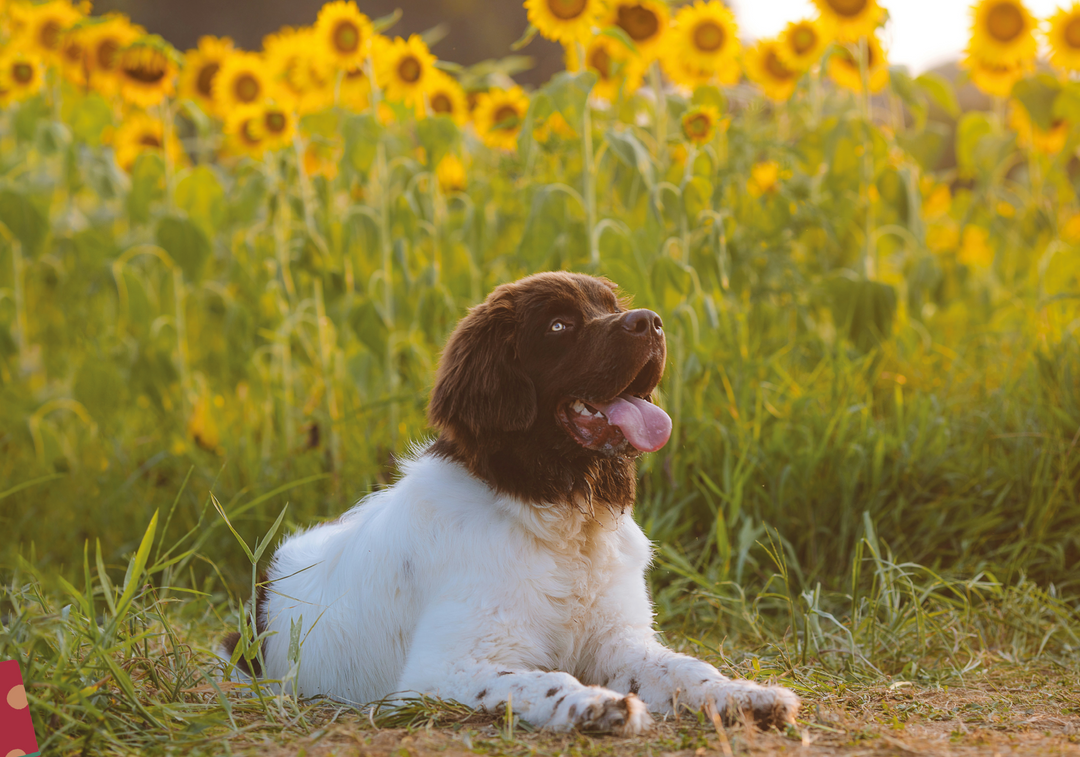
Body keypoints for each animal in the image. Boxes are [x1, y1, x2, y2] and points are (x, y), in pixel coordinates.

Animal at [219, 272, 799, 734]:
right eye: (560, 327)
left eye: (611, 306)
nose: (652, 322)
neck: (563, 516)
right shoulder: (441, 669)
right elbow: (547, 681)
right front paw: (599, 707)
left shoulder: (620, 641)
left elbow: (687, 668)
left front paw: (746, 695)